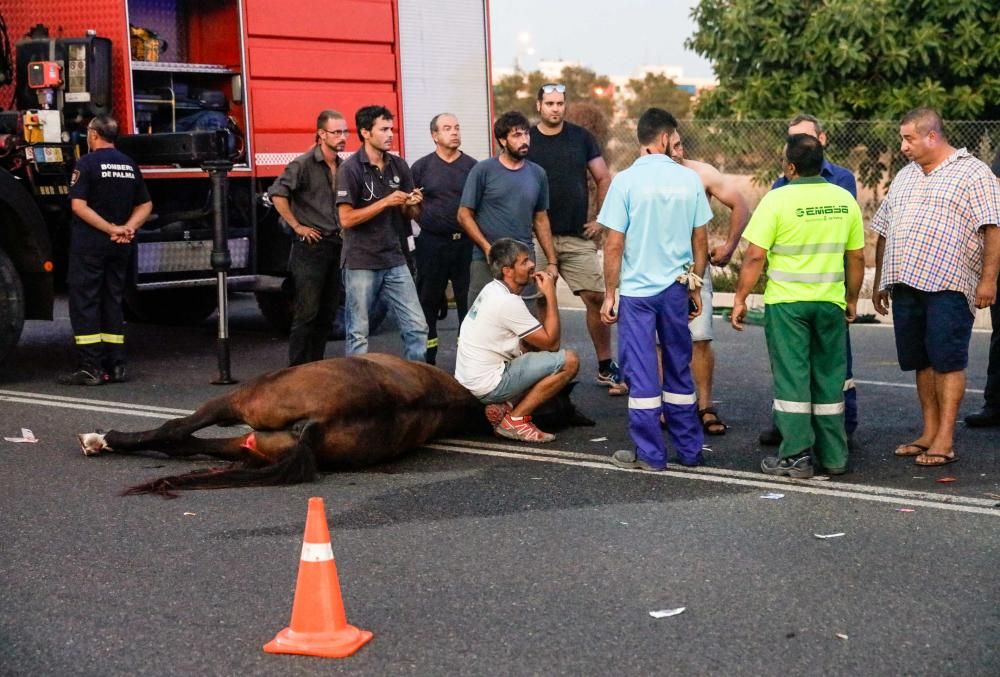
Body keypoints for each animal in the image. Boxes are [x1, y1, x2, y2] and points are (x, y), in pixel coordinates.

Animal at [78, 354, 592, 496]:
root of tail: (317, 424)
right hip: (250, 444)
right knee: (183, 446)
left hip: (238, 403)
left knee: (174, 433)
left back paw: (102, 439)